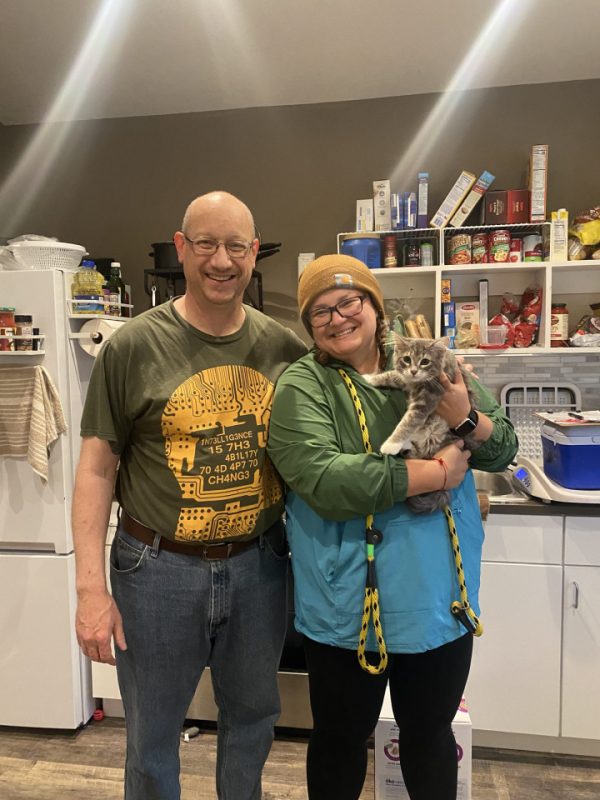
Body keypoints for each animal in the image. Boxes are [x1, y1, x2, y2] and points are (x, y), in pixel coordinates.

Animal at [360, 336, 478, 512]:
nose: (414, 371)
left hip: (434, 436)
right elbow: (391, 375)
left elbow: (407, 422)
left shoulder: (427, 400)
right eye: (407, 359)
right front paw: (370, 378)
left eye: (425, 361)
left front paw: (391, 444)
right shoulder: (405, 378)